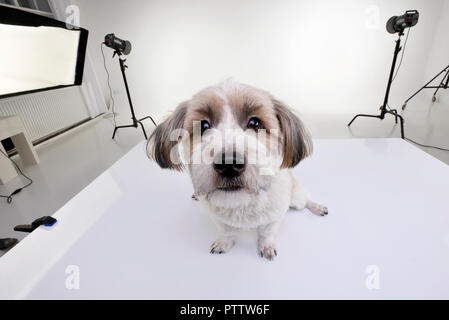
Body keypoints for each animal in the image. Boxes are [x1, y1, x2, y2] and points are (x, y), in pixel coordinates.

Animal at [147, 80, 326, 260]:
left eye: (255, 123)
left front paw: (266, 245)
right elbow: (226, 231)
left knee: (305, 199)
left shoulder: (276, 214)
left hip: (295, 198)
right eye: (203, 125)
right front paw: (224, 242)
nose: (228, 164)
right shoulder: (217, 218)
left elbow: (267, 232)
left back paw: (317, 207)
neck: (241, 202)